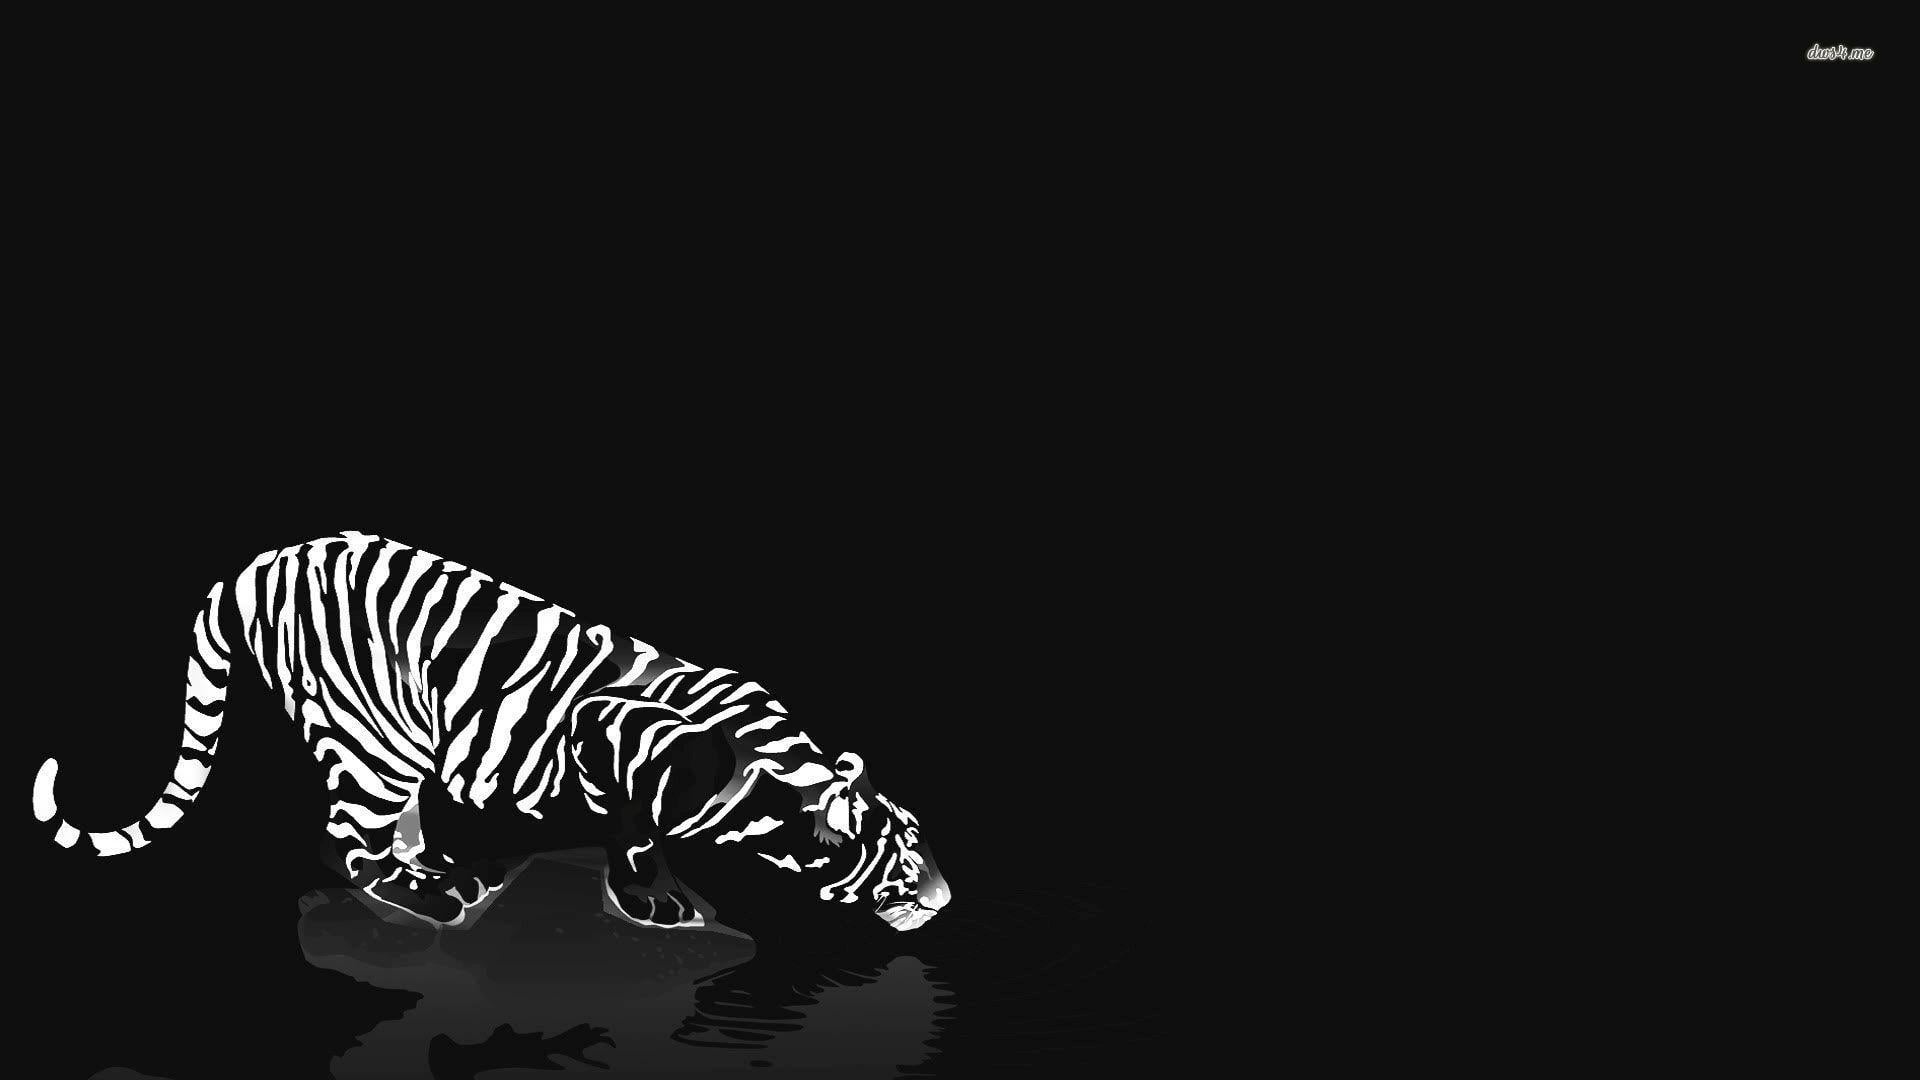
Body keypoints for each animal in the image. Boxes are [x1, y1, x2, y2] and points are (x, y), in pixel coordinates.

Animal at [30, 531, 950, 934]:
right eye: (905, 859)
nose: (944, 902)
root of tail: (264, 560)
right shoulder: (608, 734)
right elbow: (636, 832)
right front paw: (652, 900)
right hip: (372, 744)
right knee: (352, 842)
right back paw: (428, 896)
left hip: (399, 741)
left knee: (392, 825)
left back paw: (444, 868)